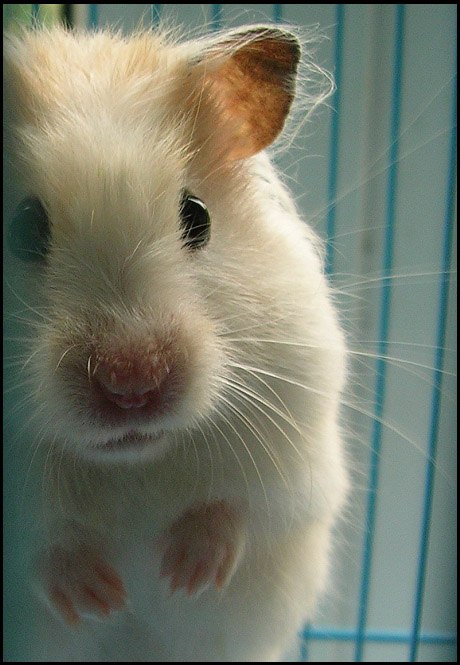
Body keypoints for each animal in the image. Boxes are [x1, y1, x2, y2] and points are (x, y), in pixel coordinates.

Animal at [4, 23, 349, 662]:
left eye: (197, 216)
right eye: (22, 228)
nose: (132, 385)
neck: (131, 463)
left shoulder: (295, 445)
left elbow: (240, 507)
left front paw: (184, 575)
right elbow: (41, 543)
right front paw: (98, 598)